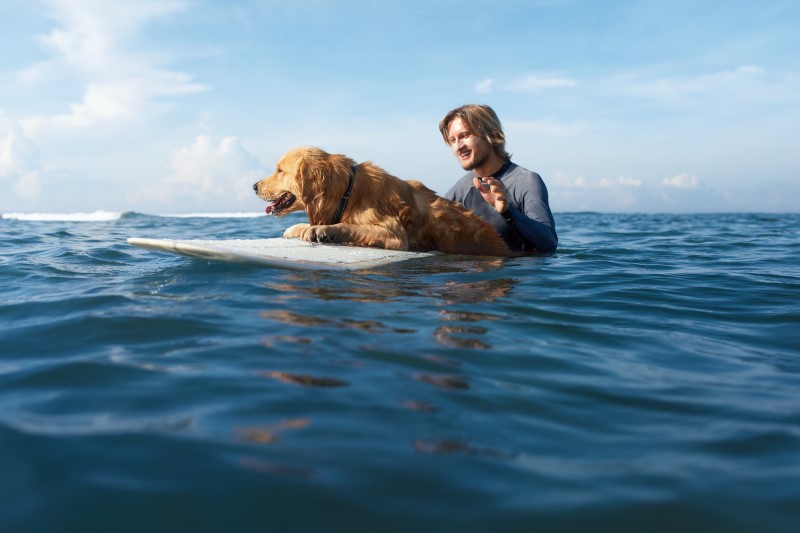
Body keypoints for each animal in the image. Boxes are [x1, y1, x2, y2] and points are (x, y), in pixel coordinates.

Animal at [256, 144, 516, 255]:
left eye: (279, 170)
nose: (254, 186)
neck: (348, 191)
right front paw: (298, 228)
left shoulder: (394, 233)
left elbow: (349, 225)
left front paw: (323, 230)